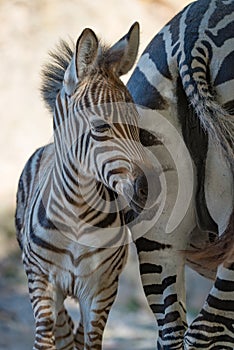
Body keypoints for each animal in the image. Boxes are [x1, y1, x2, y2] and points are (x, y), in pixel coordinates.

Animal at [15, 23, 161, 348]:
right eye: (100, 127)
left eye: (137, 125)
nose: (151, 189)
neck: (77, 214)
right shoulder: (41, 283)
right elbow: (46, 337)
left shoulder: (101, 289)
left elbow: (91, 340)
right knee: (61, 329)